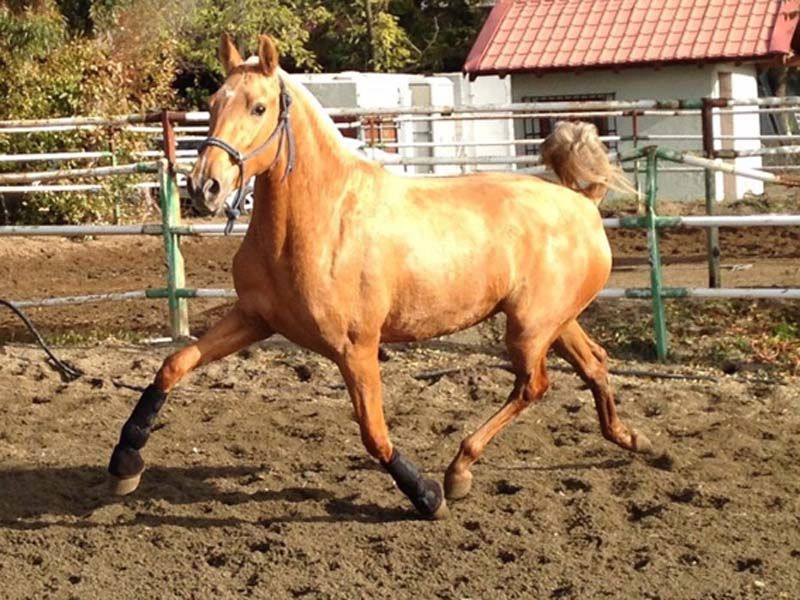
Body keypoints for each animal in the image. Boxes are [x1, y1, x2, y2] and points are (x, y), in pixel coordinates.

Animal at [108, 35, 648, 516]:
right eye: (214, 103)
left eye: (259, 107)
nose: (205, 186)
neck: (320, 222)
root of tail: (583, 201)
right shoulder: (254, 319)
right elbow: (173, 365)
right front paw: (124, 463)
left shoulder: (357, 347)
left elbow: (373, 433)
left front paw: (426, 496)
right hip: (554, 323)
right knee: (593, 363)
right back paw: (634, 440)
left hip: (529, 328)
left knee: (533, 386)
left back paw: (459, 471)